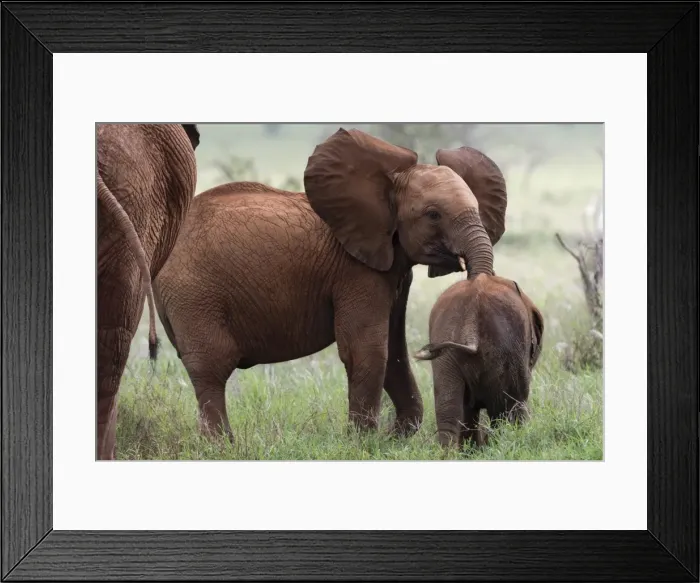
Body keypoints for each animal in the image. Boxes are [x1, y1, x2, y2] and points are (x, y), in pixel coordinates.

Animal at [152, 127, 507, 442]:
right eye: (433, 215)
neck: (387, 185)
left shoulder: (394, 269)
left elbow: (394, 349)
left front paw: (394, 439)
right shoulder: (356, 271)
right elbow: (368, 349)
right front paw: (364, 443)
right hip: (193, 293)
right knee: (211, 368)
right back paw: (222, 445)